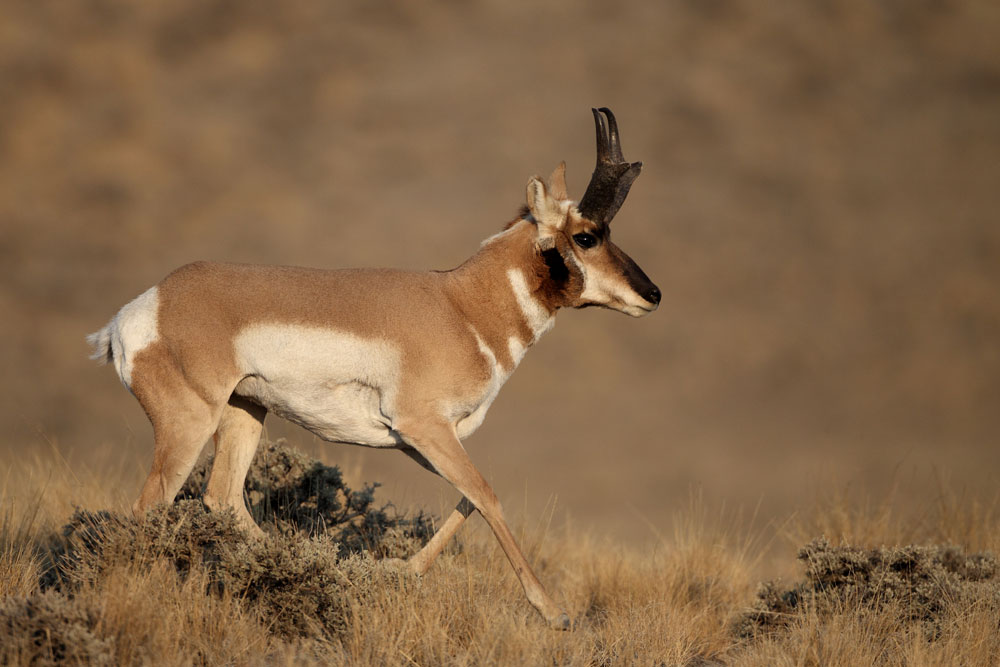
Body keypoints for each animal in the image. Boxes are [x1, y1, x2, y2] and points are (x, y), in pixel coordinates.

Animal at [90, 107, 660, 628]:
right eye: (586, 236)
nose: (652, 294)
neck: (462, 305)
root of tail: (142, 308)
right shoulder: (425, 428)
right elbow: (487, 495)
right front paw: (555, 613)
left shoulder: (421, 440)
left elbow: (472, 497)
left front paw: (399, 571)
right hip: (189, 425)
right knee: (150, 508)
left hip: (244, 414)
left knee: (223, 499)